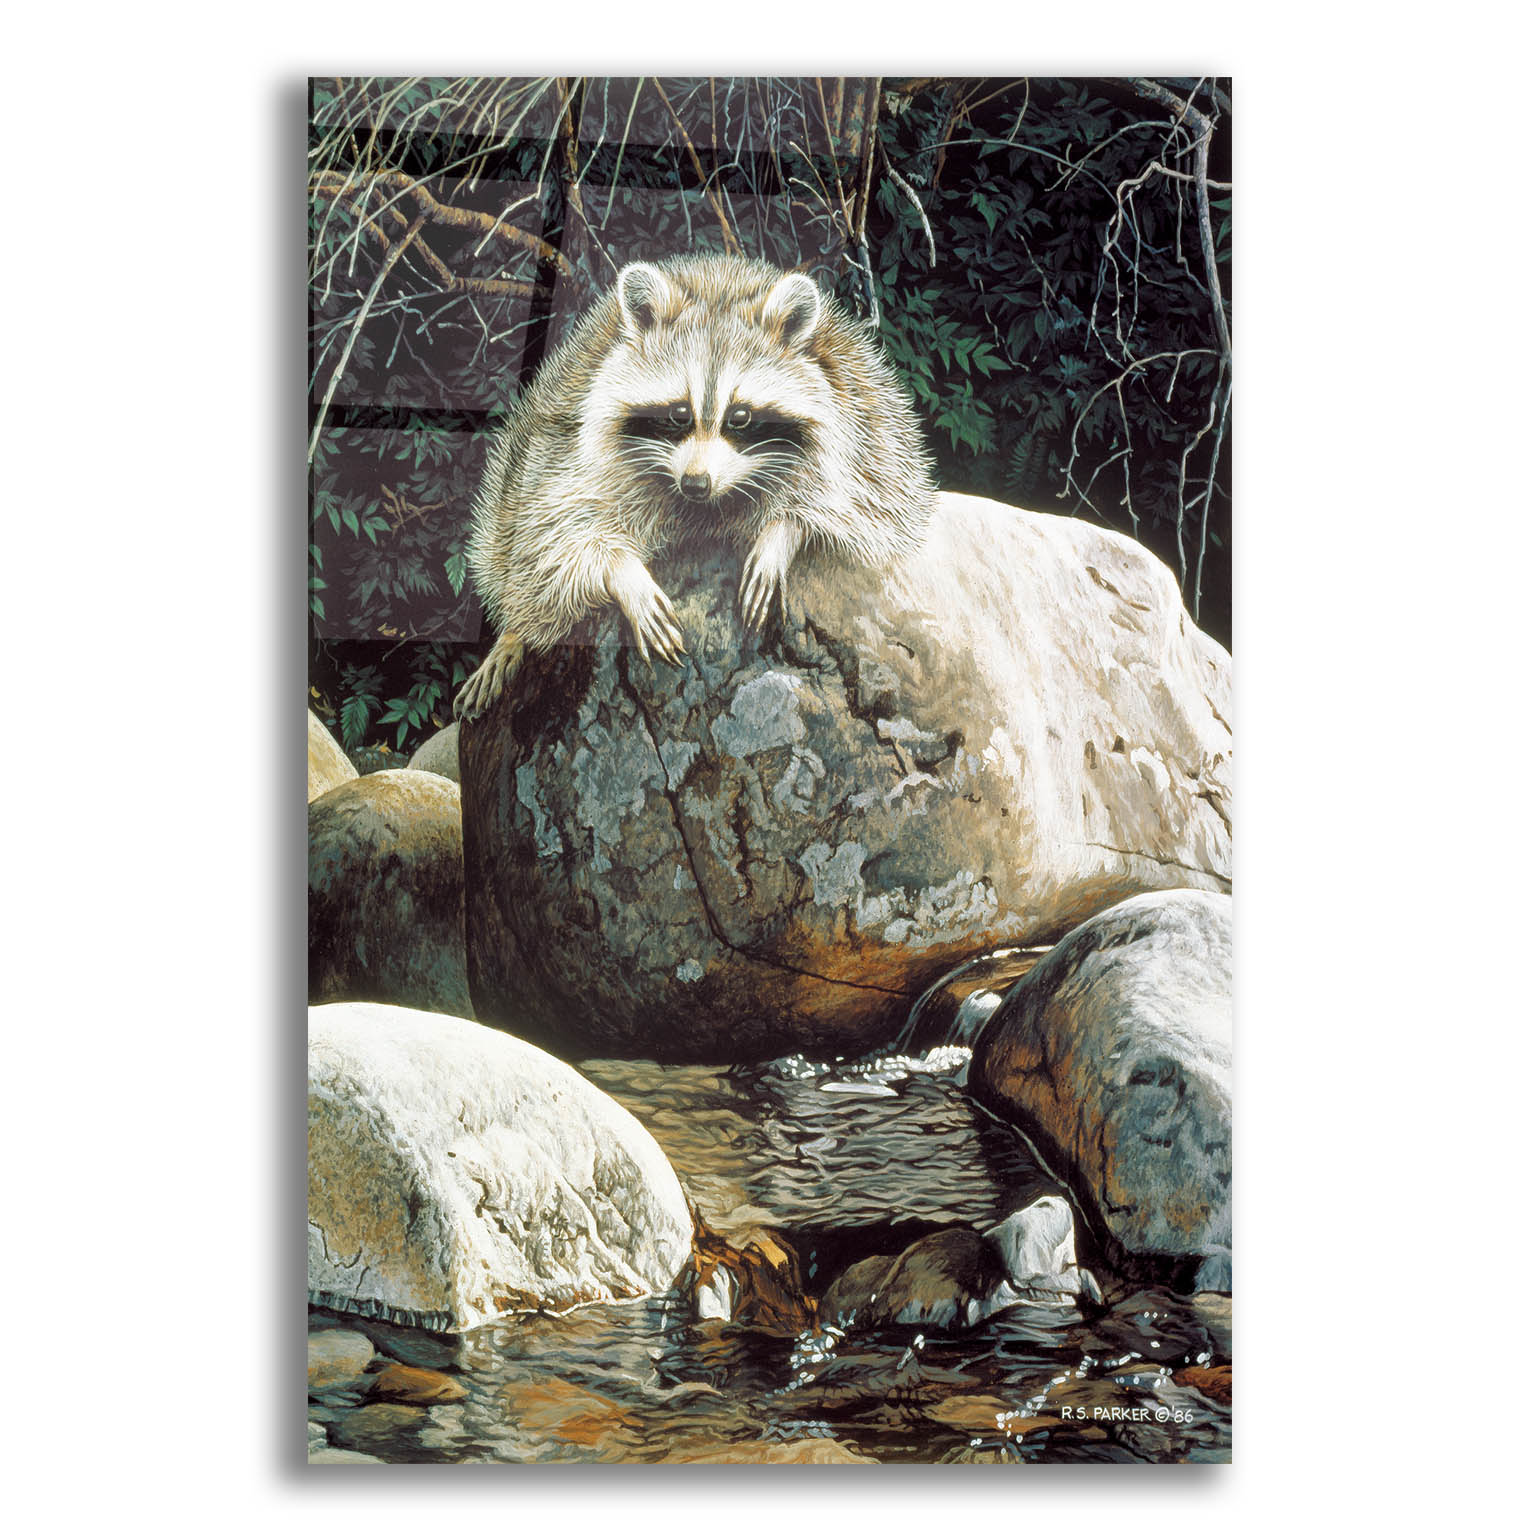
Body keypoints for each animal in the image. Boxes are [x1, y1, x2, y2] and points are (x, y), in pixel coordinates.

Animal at [454, 251, 937, 720]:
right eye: (679, 413)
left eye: (739, 416)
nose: (696, 483)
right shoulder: (571, 450)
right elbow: (555, 535)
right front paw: (622, 571)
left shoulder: (866, 425)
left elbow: (864, 505)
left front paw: (781, 532)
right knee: (513, 553)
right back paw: (514, 632)